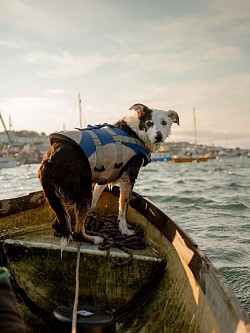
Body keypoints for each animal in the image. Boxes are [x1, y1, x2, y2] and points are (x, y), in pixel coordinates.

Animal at [38, 102, 179, 248]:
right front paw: (125, 230)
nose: (158, 136)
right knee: (77, 232)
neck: (135, 133)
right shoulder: (129, 179)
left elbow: (96, 200)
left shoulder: (105, 177)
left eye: (164, 122)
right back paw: (95, 239)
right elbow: (123, 207)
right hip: (81, 190)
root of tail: (48, 160)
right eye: (149, 122)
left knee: (60, 222)